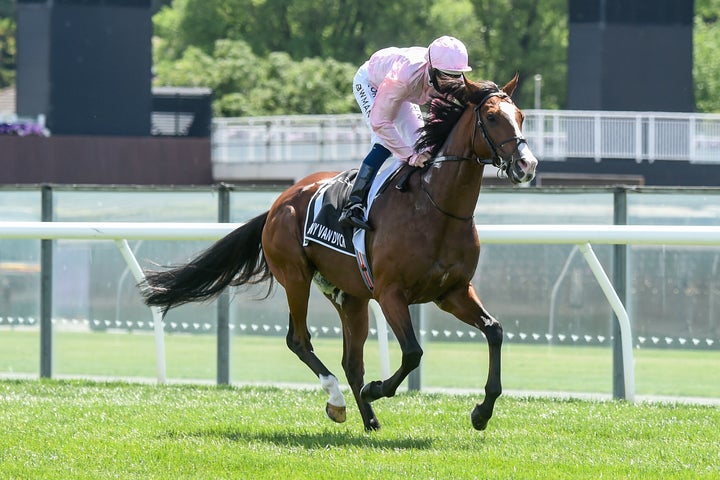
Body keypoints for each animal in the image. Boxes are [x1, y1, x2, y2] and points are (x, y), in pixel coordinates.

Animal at [142, 74, 536, 432]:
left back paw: (369, 419)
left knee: (351, 360)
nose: (527, 165)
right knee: (300, 340)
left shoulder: (452, 291)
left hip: (349, 295)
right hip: (296, 277)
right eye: (491, 117)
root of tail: (279, 202)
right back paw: (339, 400)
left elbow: (495, 331)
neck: (435, 208)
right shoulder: (391, 293)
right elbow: (412, 353)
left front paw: (482, 412)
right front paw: (377, 388)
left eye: (520, 115)